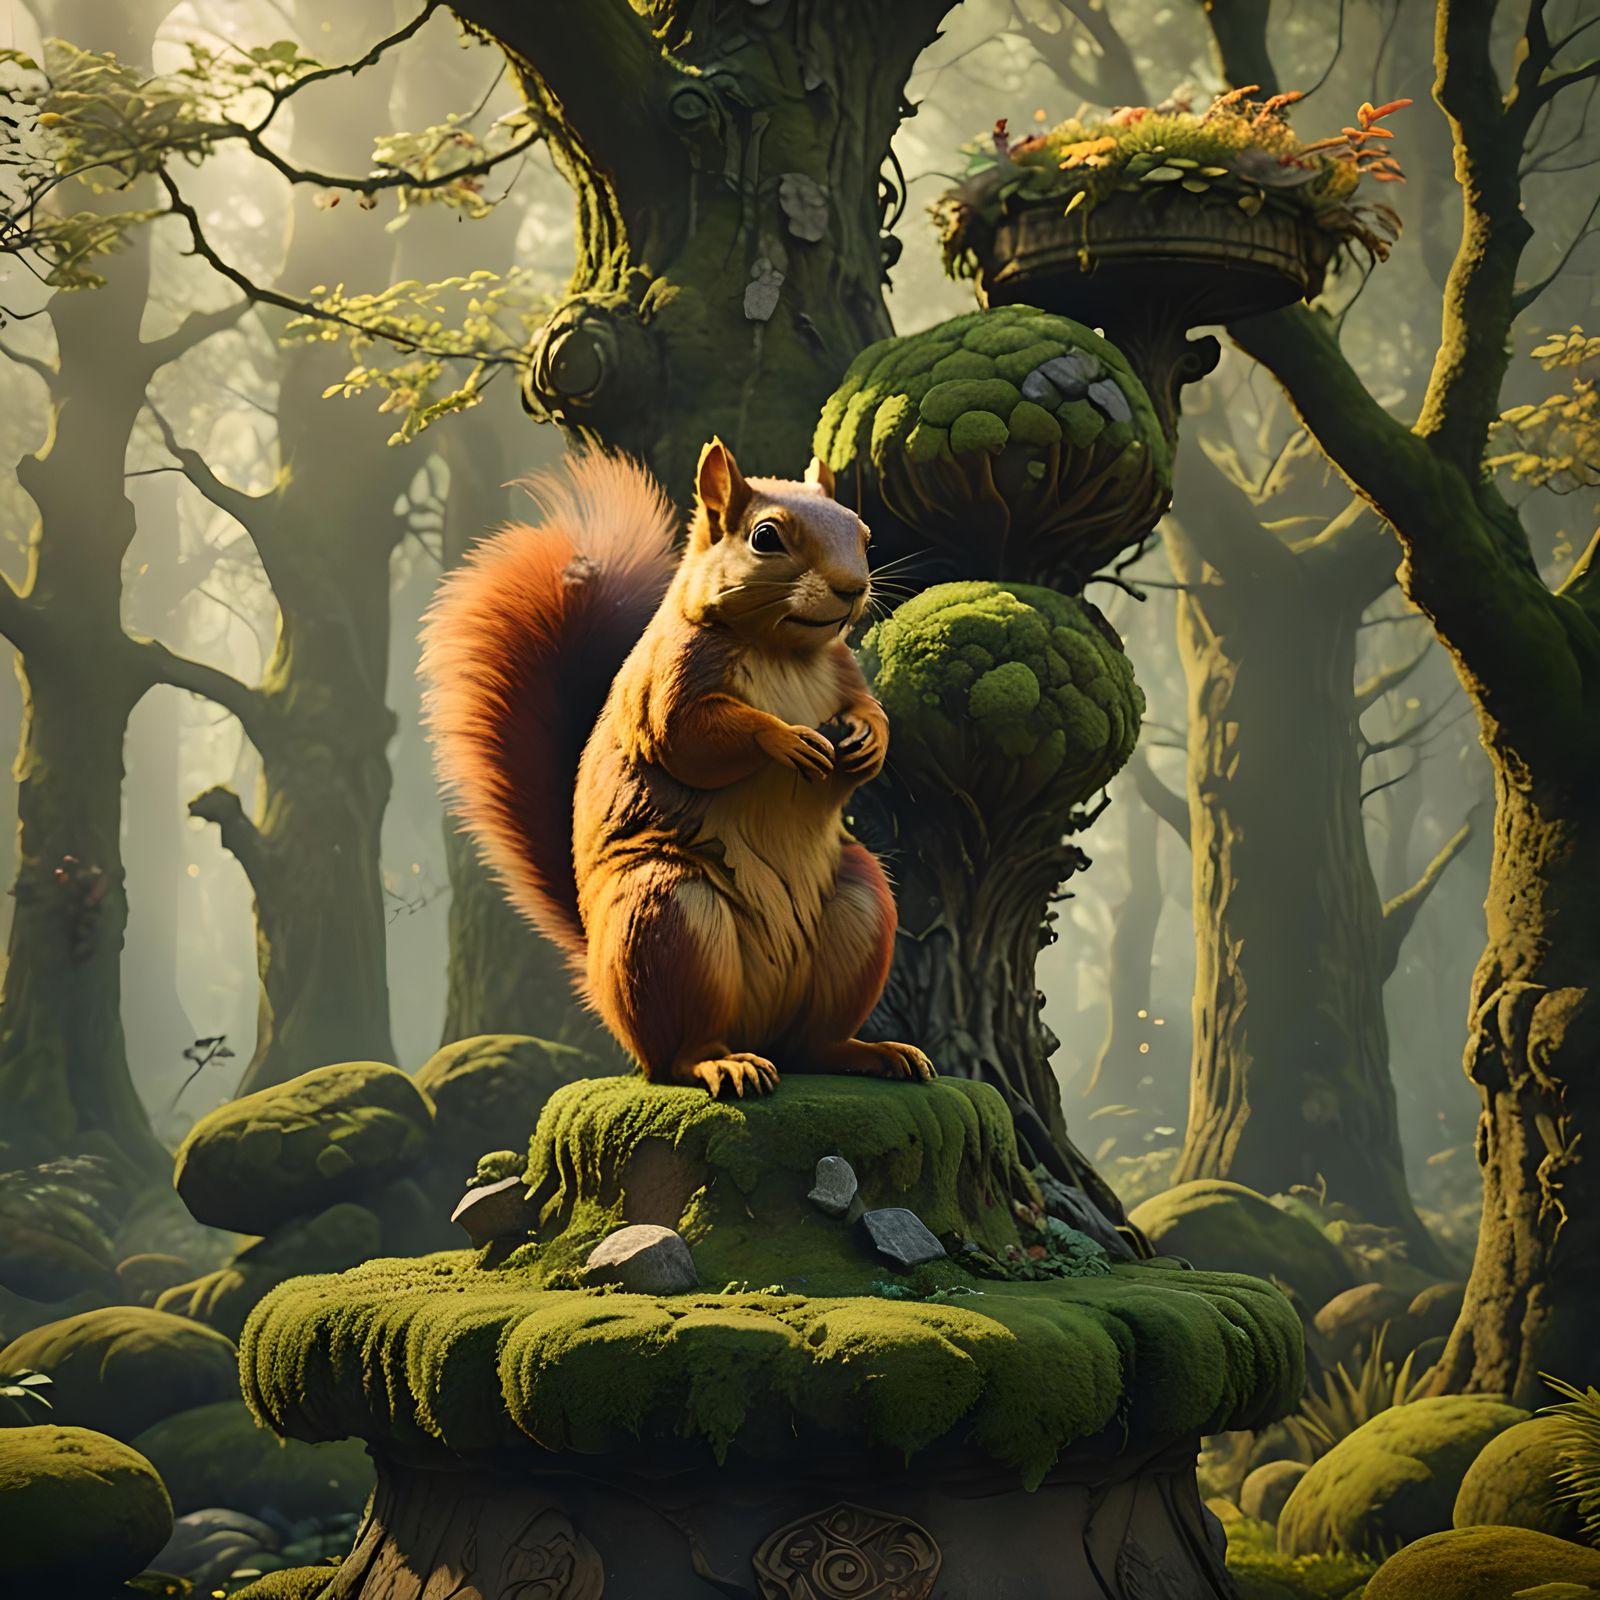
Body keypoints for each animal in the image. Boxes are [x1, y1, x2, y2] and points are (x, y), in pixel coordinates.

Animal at [420, 438, 935, 1099]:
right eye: (766, 537)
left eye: (863, 533)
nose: (853, 587)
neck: (783, 651)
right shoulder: (670, 680)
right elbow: (689, 738)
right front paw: (785, 739)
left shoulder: (842, 671)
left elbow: (868, 710)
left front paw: (869, 739)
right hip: (667, 916)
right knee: (680, 1053)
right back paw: (723, 1064)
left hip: (859, 908)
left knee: (813, 1044)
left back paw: (870, 1052)